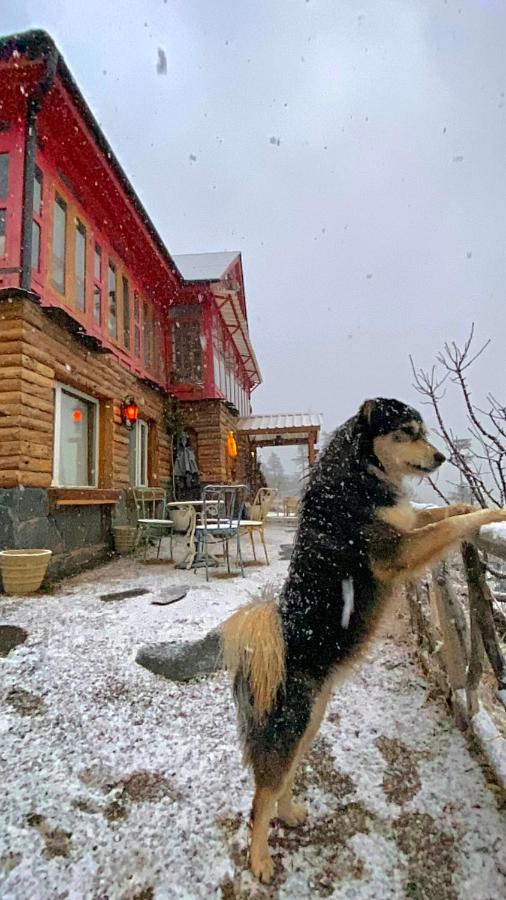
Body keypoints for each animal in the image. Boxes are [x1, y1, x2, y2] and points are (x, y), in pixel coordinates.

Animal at [223, 398, 506, 884]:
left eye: (423, 431)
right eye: (407, 431)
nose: (440, 458)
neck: (359, 475)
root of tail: (260, 653)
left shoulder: (406, 526)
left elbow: (440, 514)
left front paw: (468, 500)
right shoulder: (398, 552)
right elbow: (453, 525)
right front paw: (494, 513)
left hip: (310, 723)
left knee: (280, 781)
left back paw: (290, 813)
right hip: (291, 725)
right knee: (261, 796)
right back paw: (259, 859)